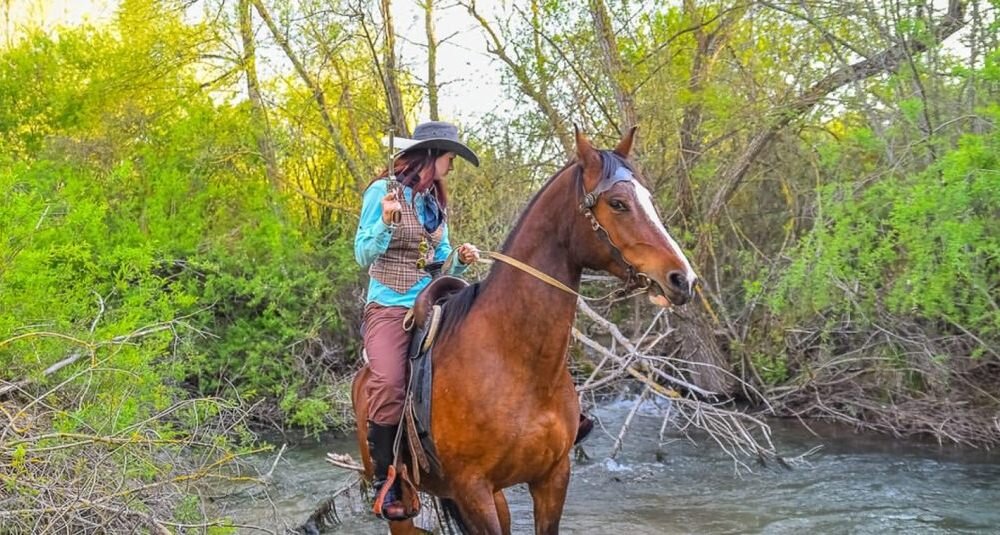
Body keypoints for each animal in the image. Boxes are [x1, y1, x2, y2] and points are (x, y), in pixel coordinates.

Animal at [356, 127, 700, 532]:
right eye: (617, 203)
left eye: (648, 199)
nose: (683, 279)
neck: (514, 361)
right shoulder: (473, 490)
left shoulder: (551, 478)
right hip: (408, 505)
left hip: (492, 496)